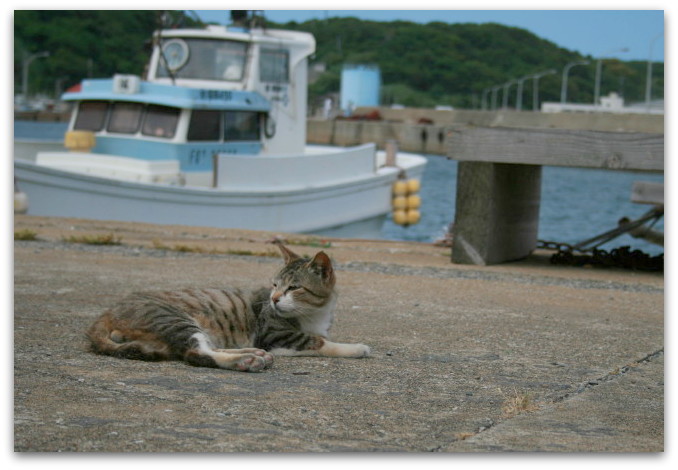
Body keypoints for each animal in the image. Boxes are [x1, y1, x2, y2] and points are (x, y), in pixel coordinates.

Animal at [87, 242, 372, 370]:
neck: (314, 313)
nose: (274, 299)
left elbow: (320, 337)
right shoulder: (276, 336)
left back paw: (251, 352)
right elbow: (320, 342)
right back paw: (245, 360)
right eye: (274, 284)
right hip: (175, 319)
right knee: (197, 353)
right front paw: (356, 348)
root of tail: (108, 311)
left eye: (293, 288)